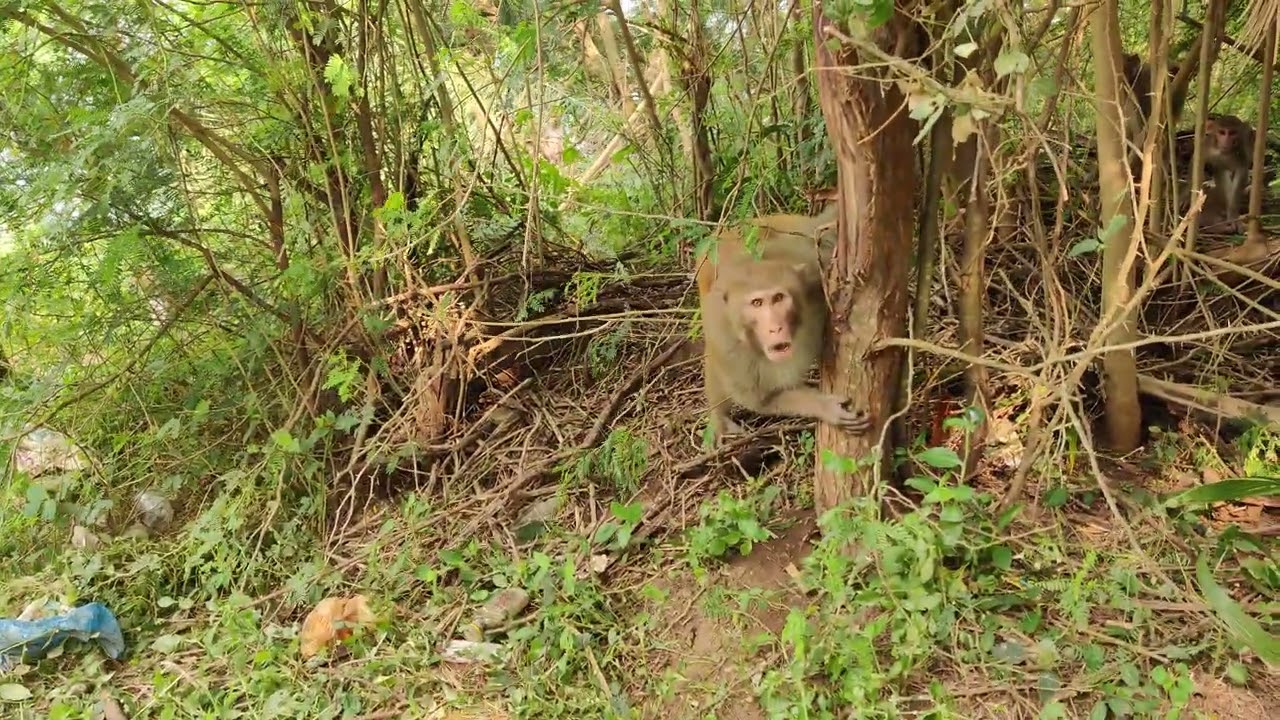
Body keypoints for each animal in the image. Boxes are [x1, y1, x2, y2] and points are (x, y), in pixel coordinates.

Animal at [694, 206, 873, 443]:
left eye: (778, 298)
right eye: (757, 303)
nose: (775, 328)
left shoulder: (810, 267)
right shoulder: (729, 348)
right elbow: (763, 399)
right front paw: (824, 406)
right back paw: (719, 416)